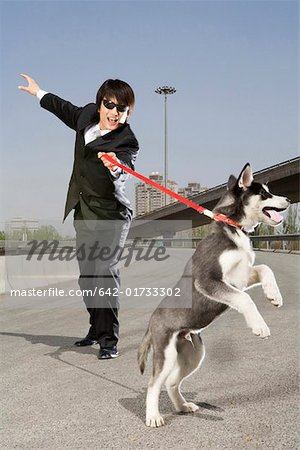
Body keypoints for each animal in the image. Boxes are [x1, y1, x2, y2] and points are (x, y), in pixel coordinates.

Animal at [138, 163, 290, 428]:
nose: (290, 200)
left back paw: (182, 406)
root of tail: (151, 322)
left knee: (171, 382)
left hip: (193, 353)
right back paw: (153, 416)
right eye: (264, 194)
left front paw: (274, 295)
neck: (232, 227)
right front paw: (259, 326)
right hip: (166, 353)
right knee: (153, 383)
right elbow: (245, 299)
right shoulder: (208, 280)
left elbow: (265, 269)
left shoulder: (241, 276)